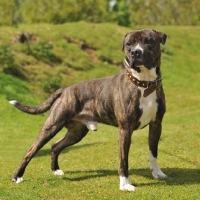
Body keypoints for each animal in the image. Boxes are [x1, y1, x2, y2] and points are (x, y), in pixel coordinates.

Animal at [9, 28, 167, 191]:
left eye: (148, 41)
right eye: (129, 44)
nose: (135, 52)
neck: (144, 83)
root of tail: (65, 90)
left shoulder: (156, 125)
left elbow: (153, 152)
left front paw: (157, 173)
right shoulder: (125, 129)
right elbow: (124, 160)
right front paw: (125, 184)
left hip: (76, 132)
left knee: (55, 146)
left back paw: (55, 169)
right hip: (52, 126)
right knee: (31, 150)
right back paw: (17, 176)